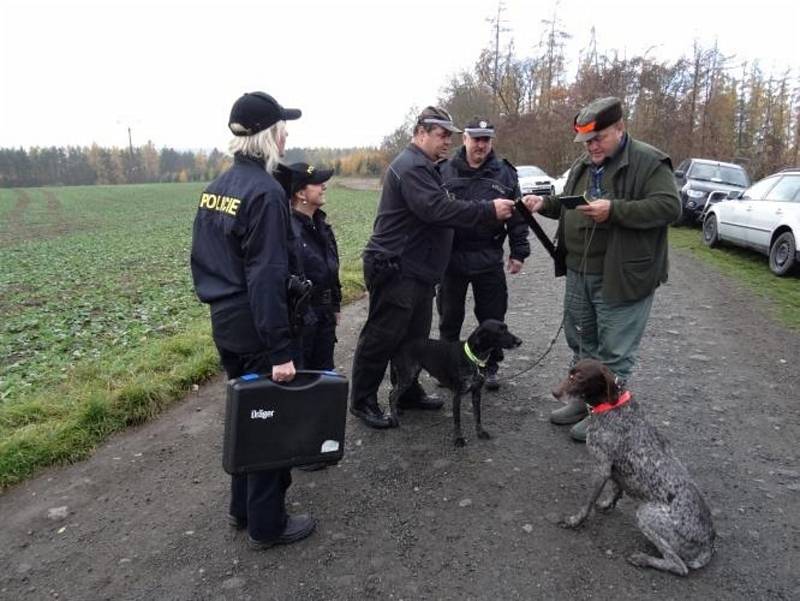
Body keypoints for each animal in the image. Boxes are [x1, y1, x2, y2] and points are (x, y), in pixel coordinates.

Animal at [390, 318, 524, 446]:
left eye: (506, 328)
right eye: (500, 331)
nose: (519, 341)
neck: (473, 358)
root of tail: (400, 346)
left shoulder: (476, 393)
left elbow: (478, 416)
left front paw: (480, 432)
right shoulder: (457, 395)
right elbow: (457, 420)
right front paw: (459, 439)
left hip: (410, 375)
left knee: (394, 393)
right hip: (407, 376)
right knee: (392, 395)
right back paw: (394, 418)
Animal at [552, 358, 716, 576]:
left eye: (579, 378)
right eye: (570, 373)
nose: (554, 392)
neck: (611, 406)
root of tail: (708, 545)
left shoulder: (601, 467)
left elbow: (587, 504)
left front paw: (575, 521)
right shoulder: (613, 470)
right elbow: (616, 488)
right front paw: (608, 504)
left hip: (646, 514)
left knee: (679, 566)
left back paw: (643, 559)